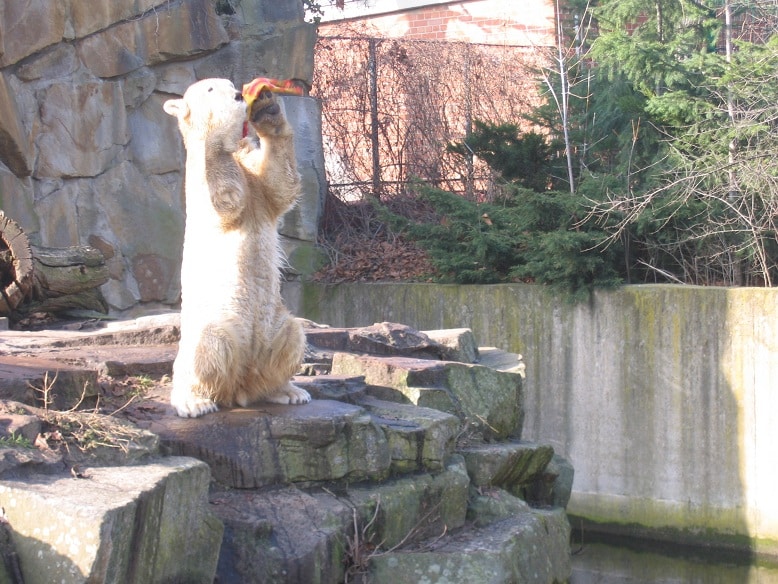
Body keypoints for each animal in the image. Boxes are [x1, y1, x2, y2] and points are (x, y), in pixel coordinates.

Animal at [163, 77, 310, 418]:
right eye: (210, 89)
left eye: (231, 83)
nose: (238, 94)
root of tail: (241, 384)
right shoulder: (203, 190)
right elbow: (226, 198)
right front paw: (220, 123)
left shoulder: (258, 188)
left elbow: (279, 185)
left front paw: (268, 107)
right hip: (217, 322)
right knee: (207, 346)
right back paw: (195, 401)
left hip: (274, 325)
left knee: (292, 333)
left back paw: (287, 391)